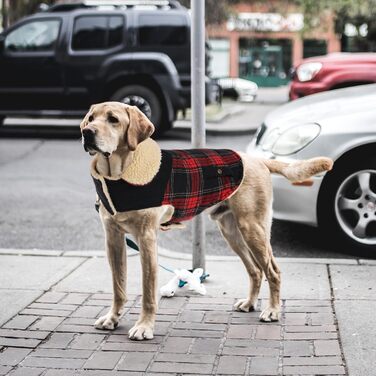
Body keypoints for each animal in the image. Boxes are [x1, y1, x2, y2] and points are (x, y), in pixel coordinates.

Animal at [81, 102, 334, 340]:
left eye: (113, 119)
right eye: (91, 118)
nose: (86, 132)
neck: (117, 176)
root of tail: (257, 160)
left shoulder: (146, 239)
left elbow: (148, 291)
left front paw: (144, 327)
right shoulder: (113, 239)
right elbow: (118, 286)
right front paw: (112, 318)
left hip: (253, 228)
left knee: (272, 270)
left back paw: (272, 310)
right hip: (232, 232)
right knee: (255, 270)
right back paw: (250, 303)